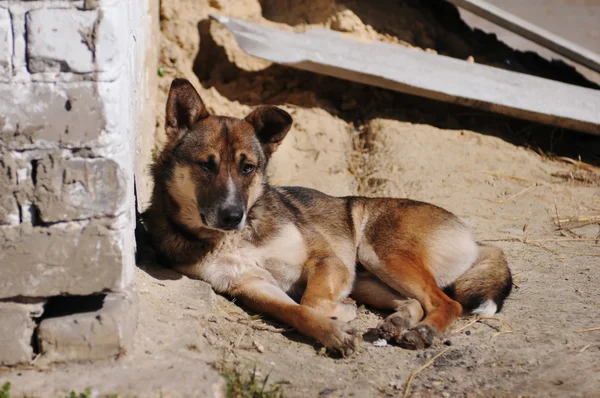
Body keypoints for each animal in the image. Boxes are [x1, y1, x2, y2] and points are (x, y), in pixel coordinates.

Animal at [142, 77, 510, 354]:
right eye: (206, 165)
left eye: (248, 168)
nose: (234, 216)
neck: (236, 238)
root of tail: (475, 240)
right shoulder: (251, 285)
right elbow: (299, 310)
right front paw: (333, 333)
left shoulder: (326, 258)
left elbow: (312, 299)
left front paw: (339, 315)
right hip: (367, 279)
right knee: (417, 301)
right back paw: (400, 321)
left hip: (379, 252)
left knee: (447, 303)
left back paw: (422, 331)